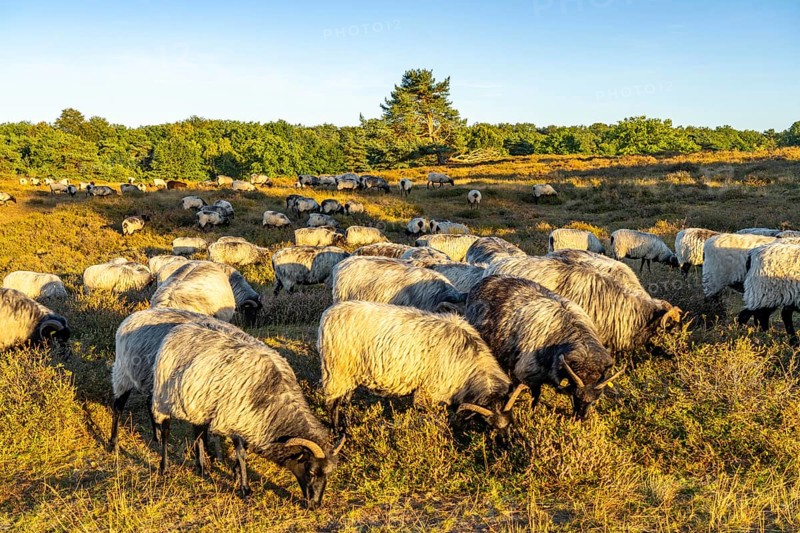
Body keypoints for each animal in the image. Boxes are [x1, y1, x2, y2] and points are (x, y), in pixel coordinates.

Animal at [151, 322, 344, 505]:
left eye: (328, 474)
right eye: (310, 471)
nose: (315, 504)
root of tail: (178, 330)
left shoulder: (249, 422)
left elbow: (244, 450)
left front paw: (236, 472)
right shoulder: (233, 418)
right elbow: (241, 453)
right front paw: (245, 488)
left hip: (197, 403)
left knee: (198, 432)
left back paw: (203, 467)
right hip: (164, 397)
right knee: (166, 431)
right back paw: (164, 467)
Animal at [318, 301, 527, 431]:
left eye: (512, 423)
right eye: (490, 426)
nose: (506, 448)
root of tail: (328, 314)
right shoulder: (430, 393)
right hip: (336, 371)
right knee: (332, 404)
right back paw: (337, 431)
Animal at [466, 276, 620, 419]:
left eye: (596, 398)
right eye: (576, 394)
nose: (581, 418)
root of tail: (484, 281)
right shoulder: (528, 375)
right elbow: (536, 396)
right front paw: (532, 412)